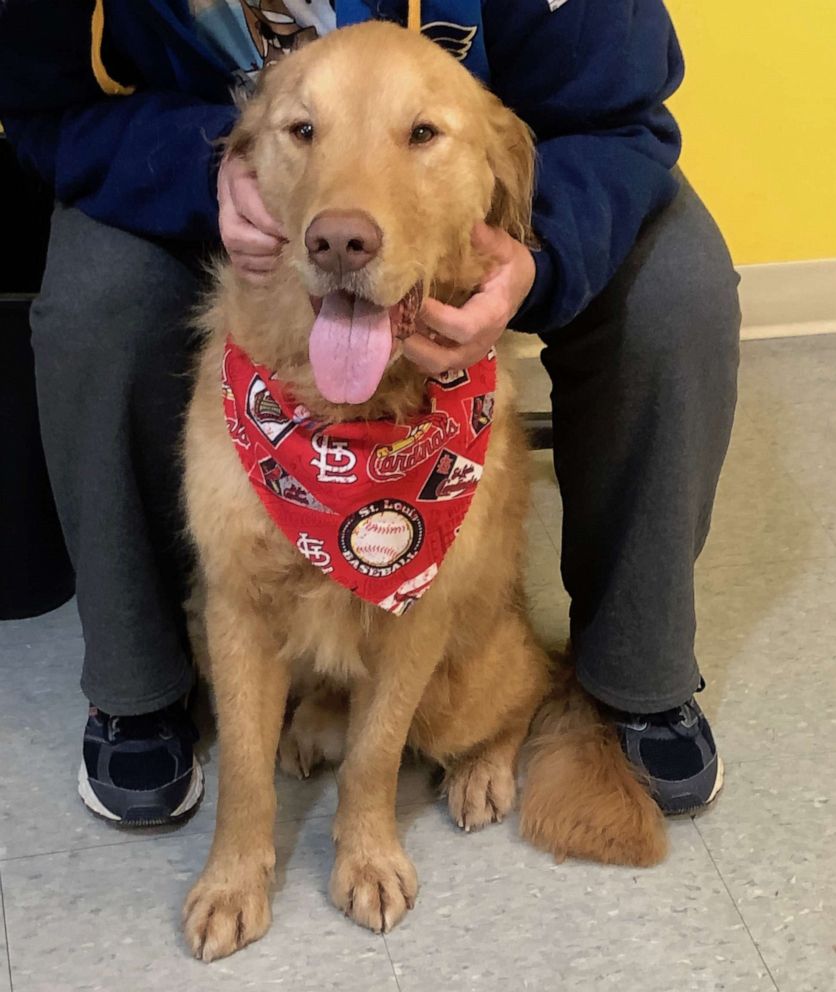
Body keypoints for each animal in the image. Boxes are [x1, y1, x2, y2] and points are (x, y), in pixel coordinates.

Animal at [183, 21, 668, 960]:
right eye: (303, 131)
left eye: (422, 135)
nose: (338, 241)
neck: (347, 423)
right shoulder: (234, 605)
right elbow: (243, 774)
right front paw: (232, 883)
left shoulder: (418, 618)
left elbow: (376, 757)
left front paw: (367, 861)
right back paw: (313, 725)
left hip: (468, 680)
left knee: (524, 696)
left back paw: (481, 772)